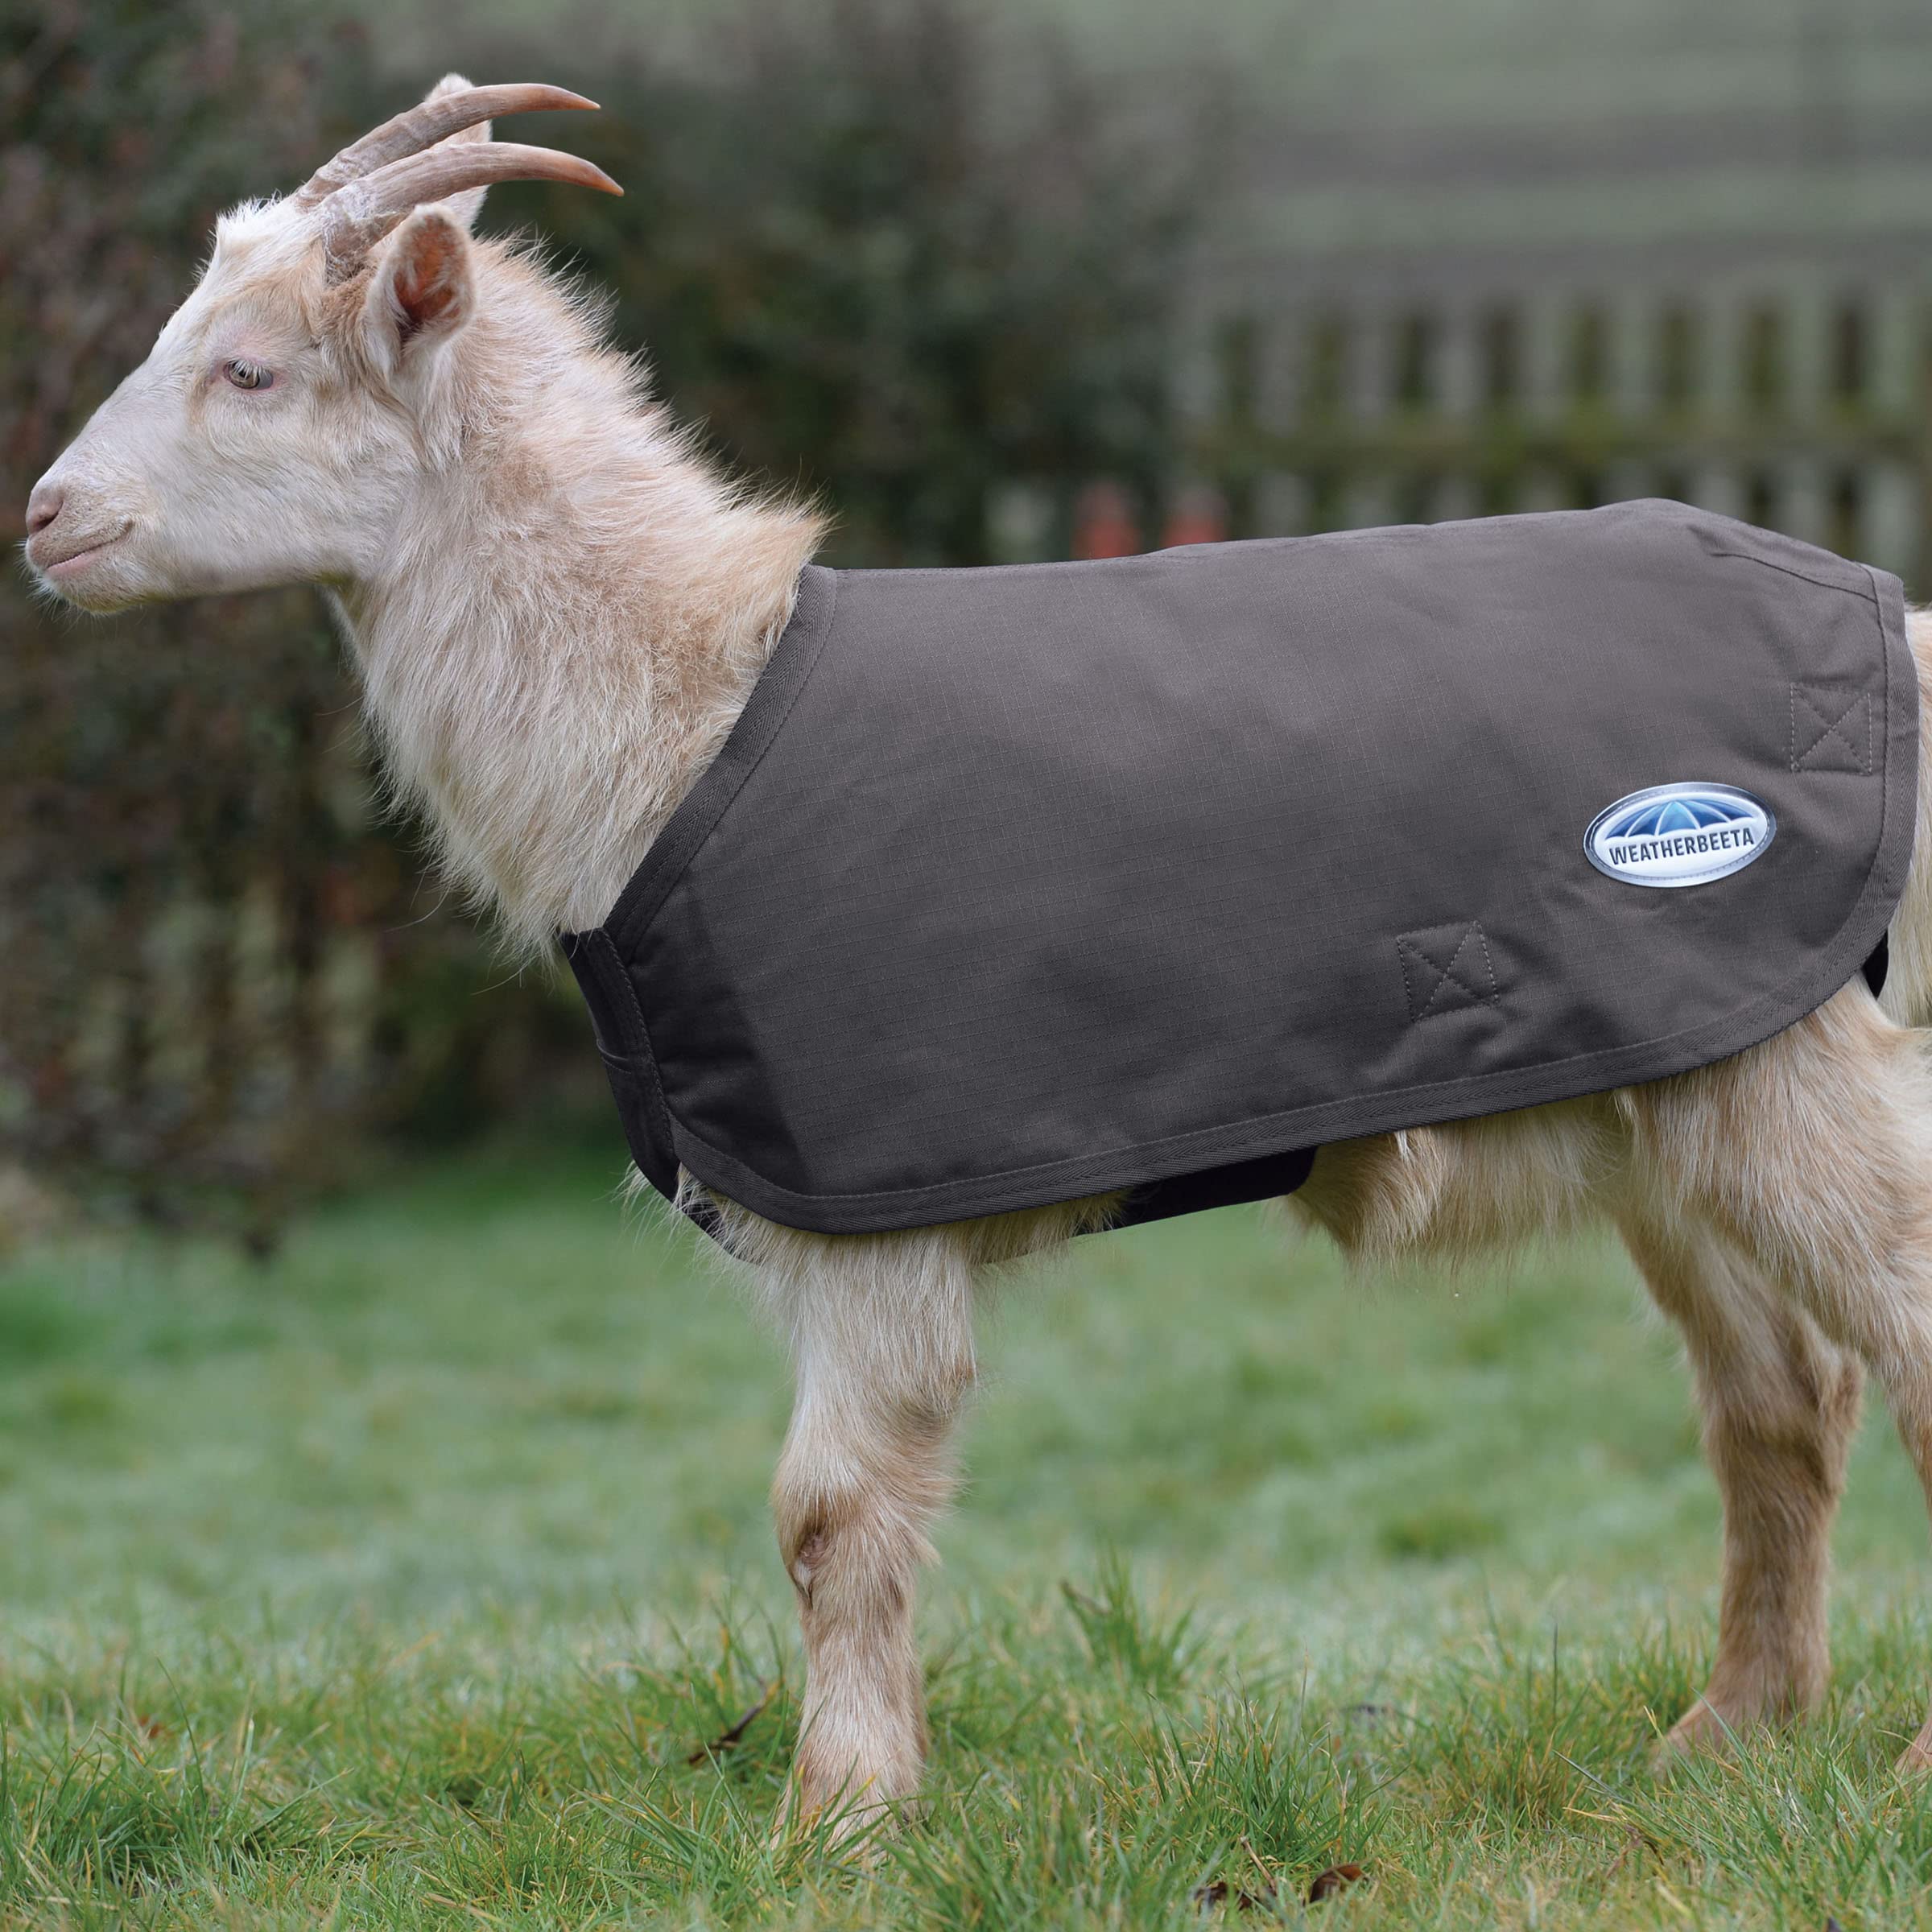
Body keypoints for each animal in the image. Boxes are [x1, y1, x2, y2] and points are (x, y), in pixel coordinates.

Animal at [25, 78, 1932, 1829]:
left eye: (251, 371)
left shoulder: (870, 1211)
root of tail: (1895, 630)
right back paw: (1726, 1739)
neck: (690, 712)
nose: (44, 521)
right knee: (1784, 1402)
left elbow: (826, 1515)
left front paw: (840, 1821)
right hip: (1670, 1087)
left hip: (1802, 1073)